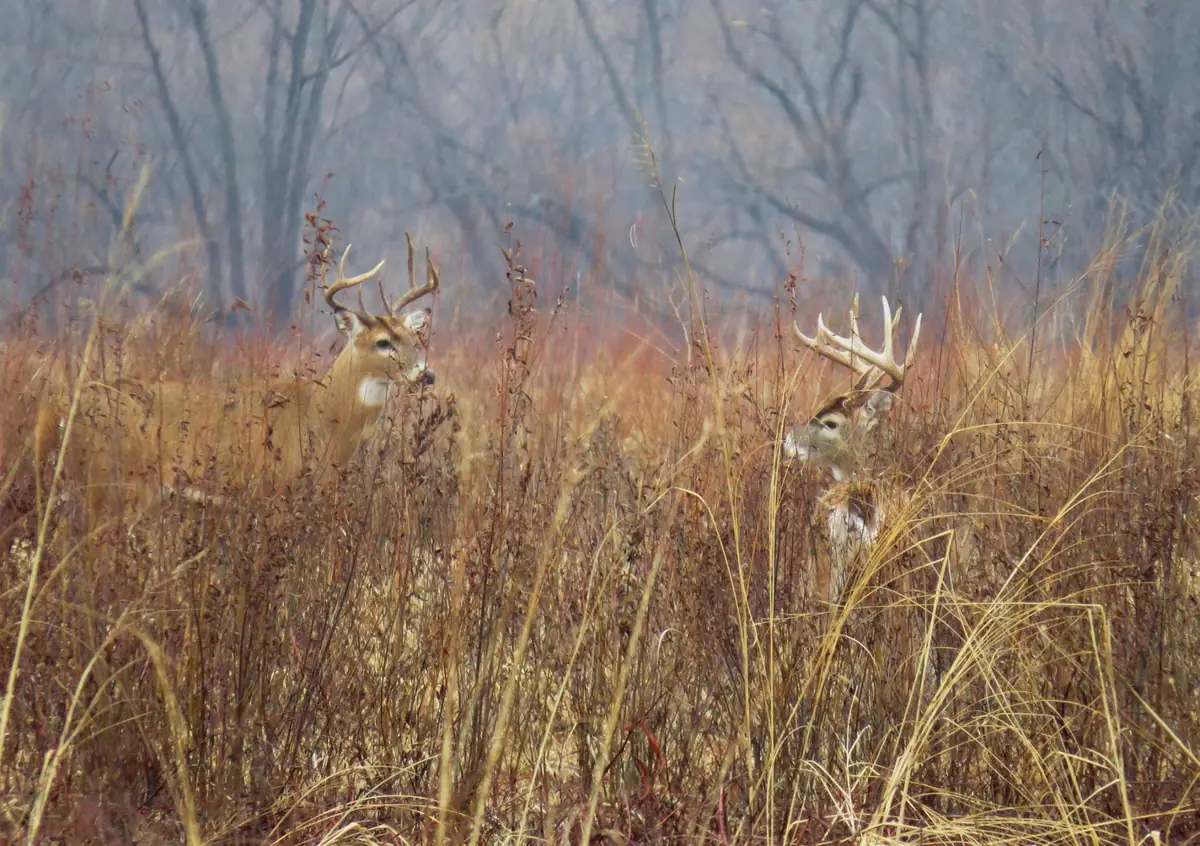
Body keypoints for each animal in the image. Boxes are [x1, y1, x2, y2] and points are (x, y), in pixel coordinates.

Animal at [33, 236, 442, 518]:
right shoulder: (276, 490)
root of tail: (59, 409)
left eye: (413, 338)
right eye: (383, 342)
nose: (427, 374)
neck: (325, 420)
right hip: (115, 485)